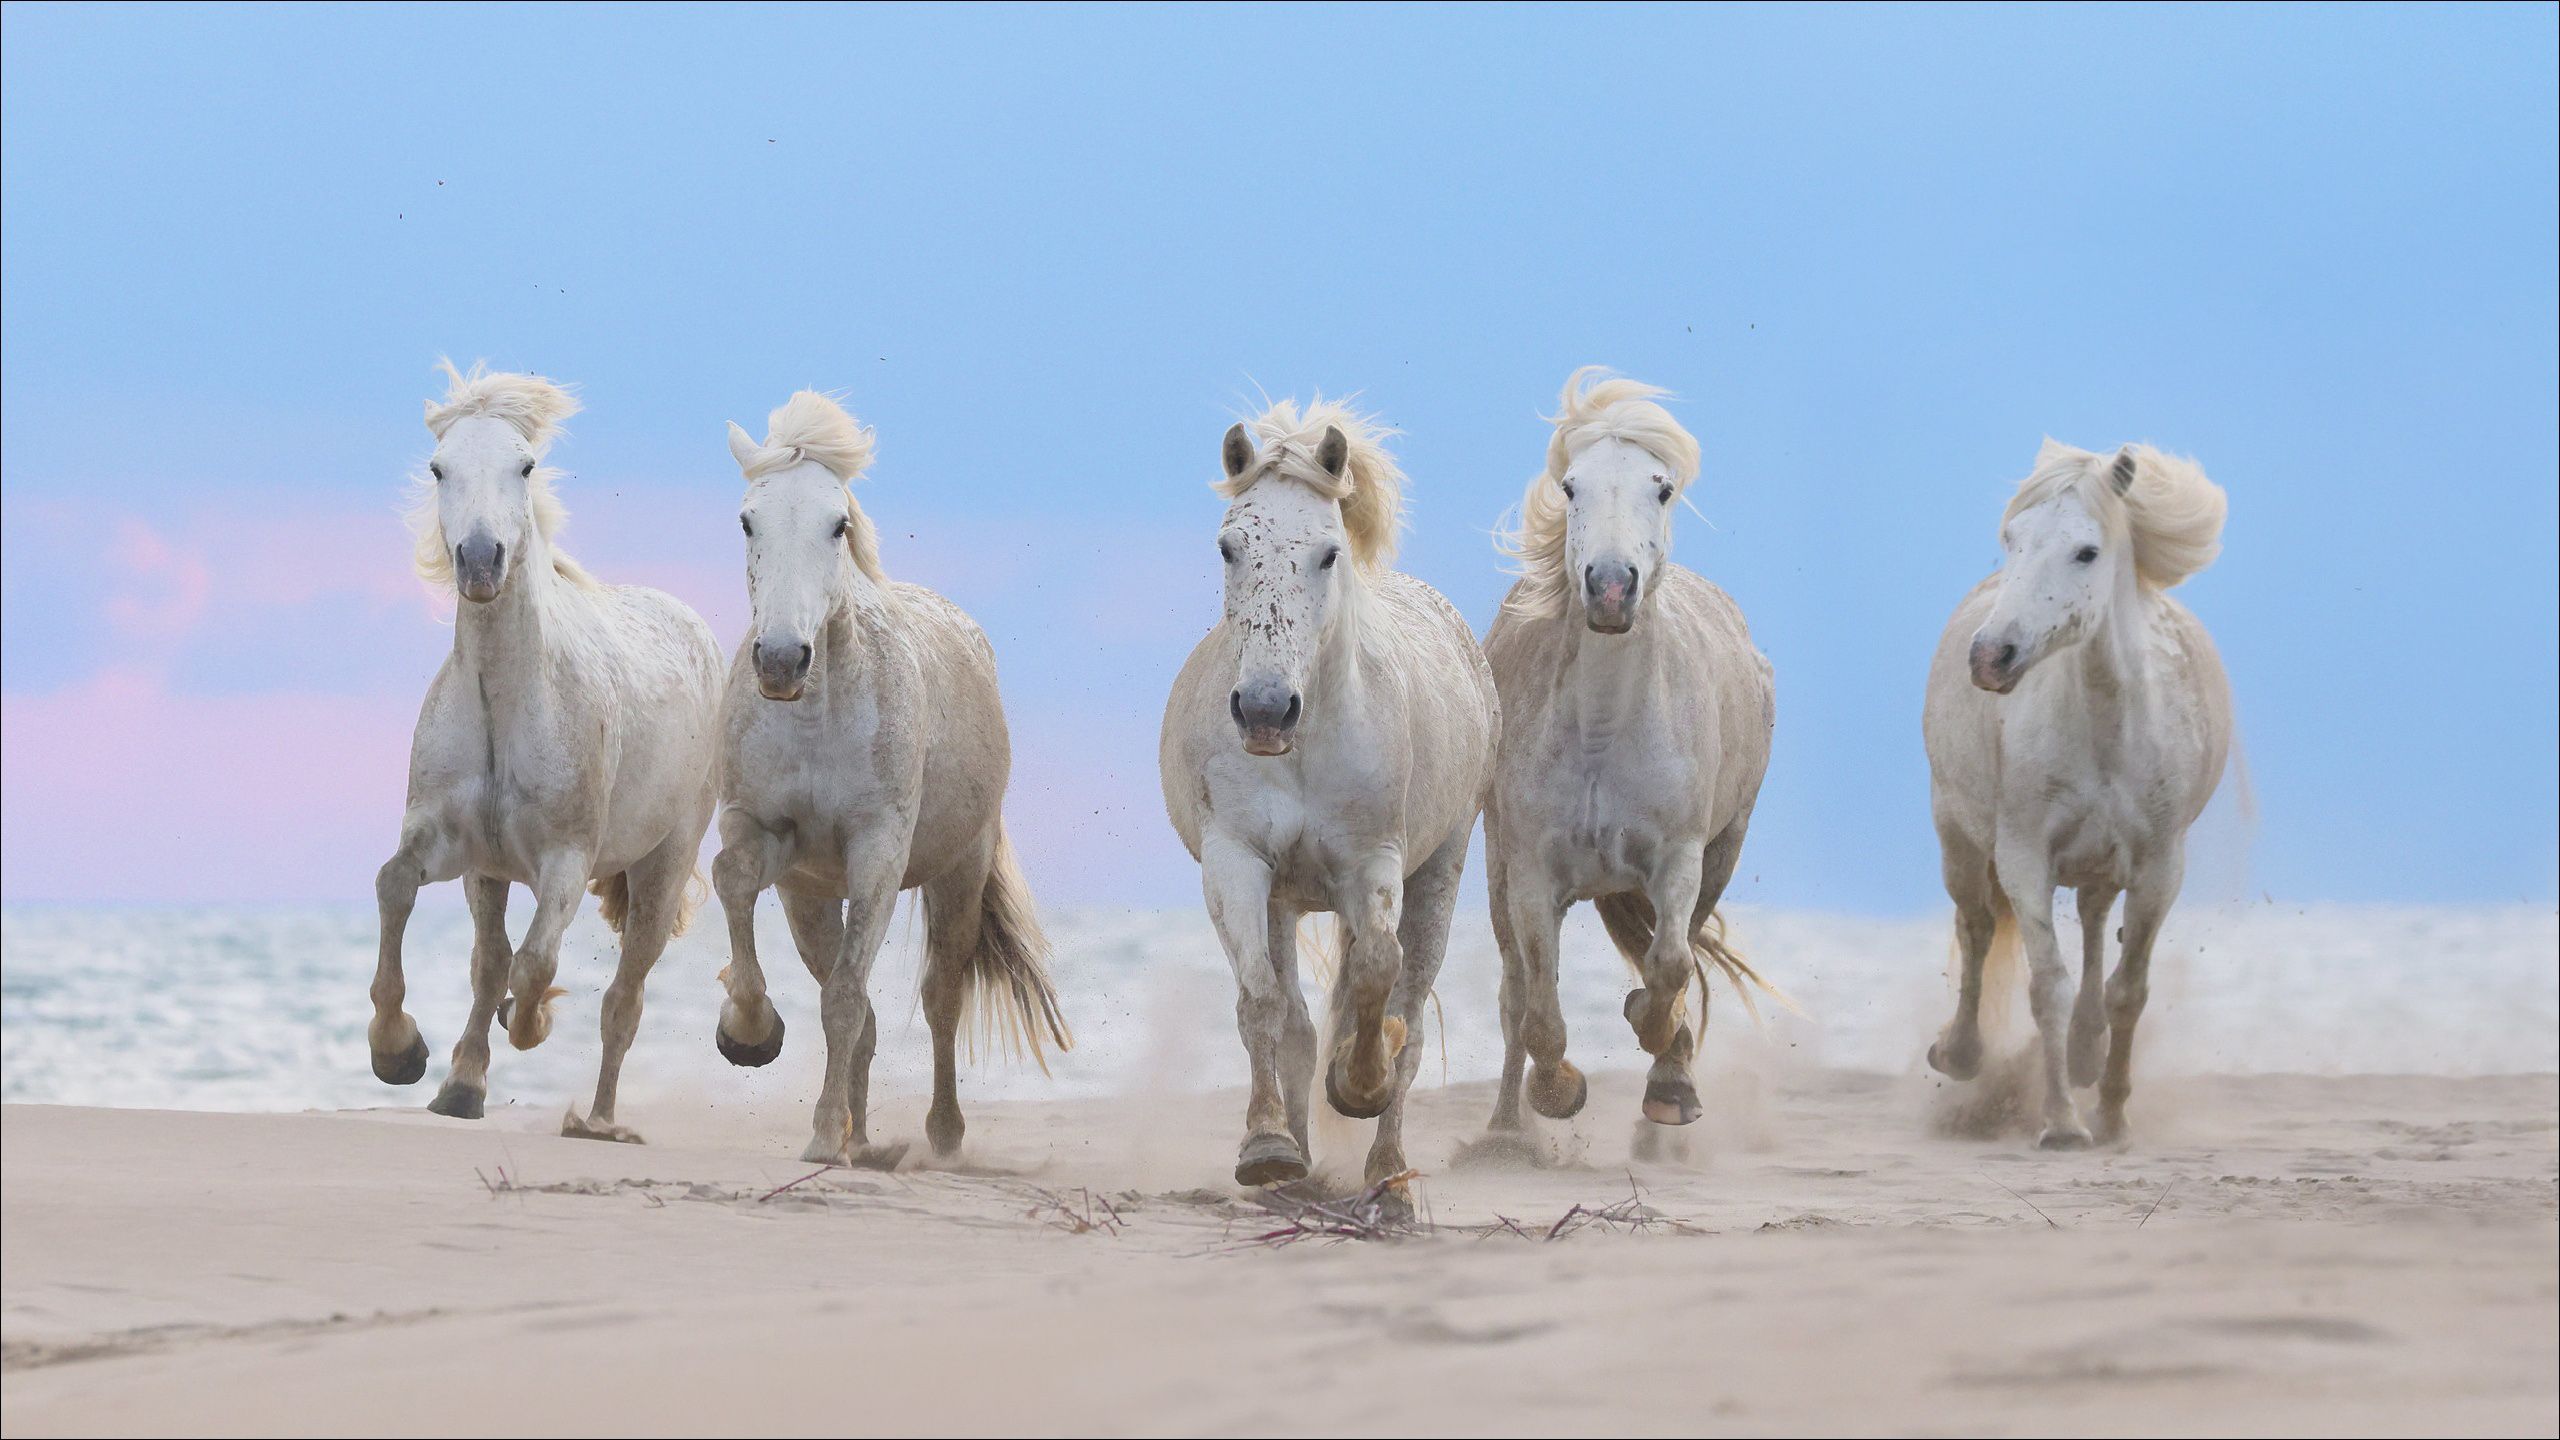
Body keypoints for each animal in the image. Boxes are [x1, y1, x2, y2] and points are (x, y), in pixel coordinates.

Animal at [370, 361, 724, 1142]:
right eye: (439, 468)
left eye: (525, 465)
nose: (479, 561)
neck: (506, 702)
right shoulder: (457, 846)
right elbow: (400, 890)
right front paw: (402, 1054)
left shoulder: (566, 859)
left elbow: (534, 965)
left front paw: (527, 1025)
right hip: (493, 873)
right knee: (491, 962)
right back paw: (465, 1083)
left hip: (661, 865)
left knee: (624, 997)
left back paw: (597, 1119)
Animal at [708, 390, 1068, 1167]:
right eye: (749, 519)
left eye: (837, 524)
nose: (780, 660)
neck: (819, 715)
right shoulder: (765, 832)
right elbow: (733, 883)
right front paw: (749, 1033)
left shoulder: (877, 848)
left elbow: (848, 998)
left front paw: (821, 1139)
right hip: (811, 898)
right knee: (865, 1013)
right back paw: (861, 1134)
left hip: (960, 871)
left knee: (940, 1000)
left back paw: (940, 1136)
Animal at [1159, 398, 1499, 1192]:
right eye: (1229, 547)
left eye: (1327, 552)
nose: (1263, 710)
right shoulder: (1237, 862)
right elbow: (1264, 1002)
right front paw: (1266, 1147)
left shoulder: (1372, 862)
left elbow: (1378, 972)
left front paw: (1358, 1086)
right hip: (1284, 898)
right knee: (1299, 1022)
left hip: (1440, 870)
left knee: (1405, 1013)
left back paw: (1388, 1174)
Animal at [1479, 368, 1777, 1140]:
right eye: (1571, 486)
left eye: (1662, 487)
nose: (1611, 588)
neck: (1603, 734)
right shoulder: (1529, 874)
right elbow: (1539, 1012)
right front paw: (1558, 1093)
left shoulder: (1680, 858)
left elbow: (1669, 964)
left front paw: (1664, 1065)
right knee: (1514, 993)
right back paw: (1503, 1133)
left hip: (1725, 848)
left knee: (1677, 951)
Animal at [1923, 439, 2232, 1148]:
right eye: (2011, 539)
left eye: (2086, 551)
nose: (1990, 657)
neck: (2106, 723)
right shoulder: (2024, 858)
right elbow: (2048, 988)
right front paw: (2062, 1123)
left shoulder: (2158, 868)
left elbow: (2128, 989)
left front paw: (2112, 1114)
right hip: (1957, 837)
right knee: (1976, 928)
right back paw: (1961, 1053)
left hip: (2101, 867)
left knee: (2093, 927)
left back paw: (2089, 1054)